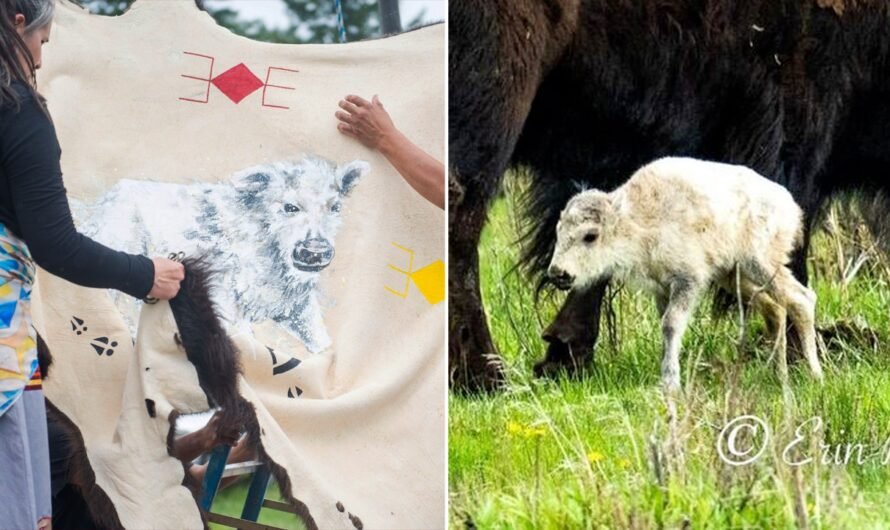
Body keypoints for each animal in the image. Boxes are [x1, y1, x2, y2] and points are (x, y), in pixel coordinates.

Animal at [544, 155, 824, 390]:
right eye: (558, 232)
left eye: (590, 236)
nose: (559, 273)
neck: (637, 219)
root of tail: (790, 206)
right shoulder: (662, 289)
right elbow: (665, 324)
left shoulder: (688, 281)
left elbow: (671, 324)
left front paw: (671, 383)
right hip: (735, 276)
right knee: (775, 308)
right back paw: (778, 376)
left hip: (760, 264)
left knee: (801, 299)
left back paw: (814, 374)